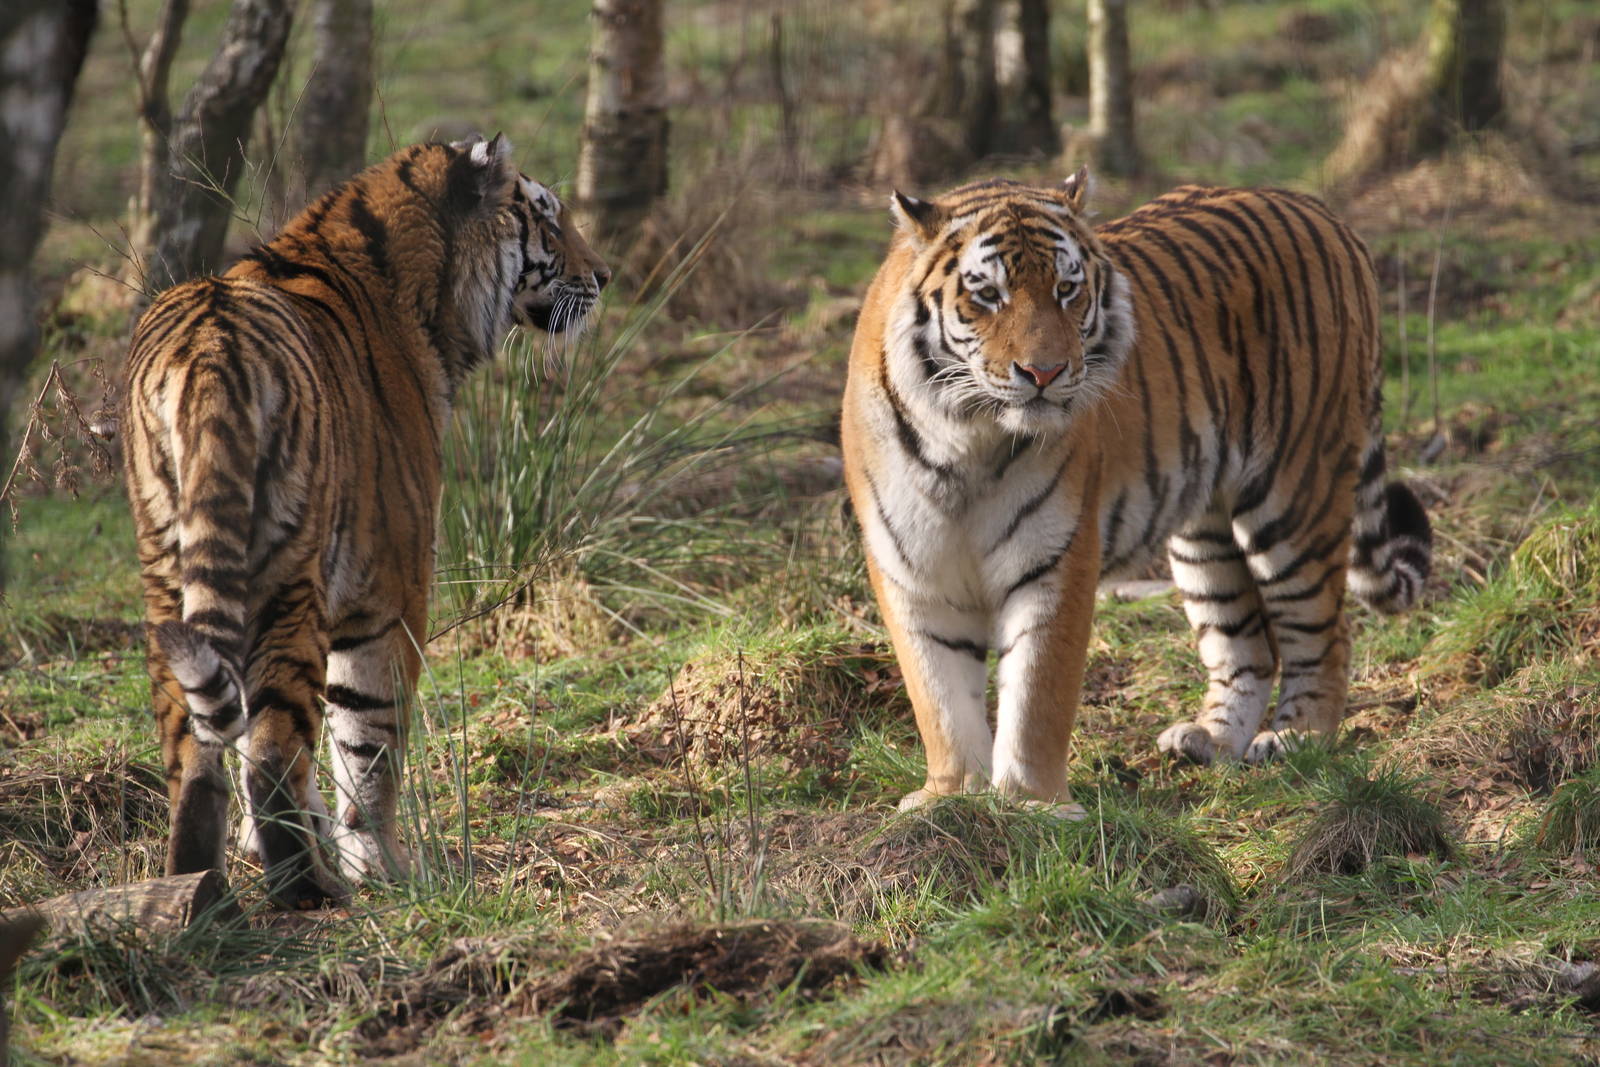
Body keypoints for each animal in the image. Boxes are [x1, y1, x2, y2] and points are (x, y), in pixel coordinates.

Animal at [121, 135, 609, 906]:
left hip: (167, 569)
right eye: (548, 218)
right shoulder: (390, 586)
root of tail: (209, 351)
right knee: (272, 750)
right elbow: (369, 743)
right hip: (290, 575)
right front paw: (385, 866)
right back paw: (308, 889)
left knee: (194, 743)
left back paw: (201, 889)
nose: (606, 276)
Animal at [840, 169, 1431, 813]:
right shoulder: (913, 571)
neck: (967, 439)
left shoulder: (1056, 559)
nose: (1044, 373)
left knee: (1324, 631)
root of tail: (1319, 209)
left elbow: (1037, 694)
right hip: (1204, 533)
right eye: (989, 295)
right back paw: (1210, 740)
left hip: (1295, 496)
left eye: (1067, 290)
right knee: (1245, 643)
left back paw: (1296, 739)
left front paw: (1033, 803)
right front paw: (952, 798)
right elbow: (940, 699)